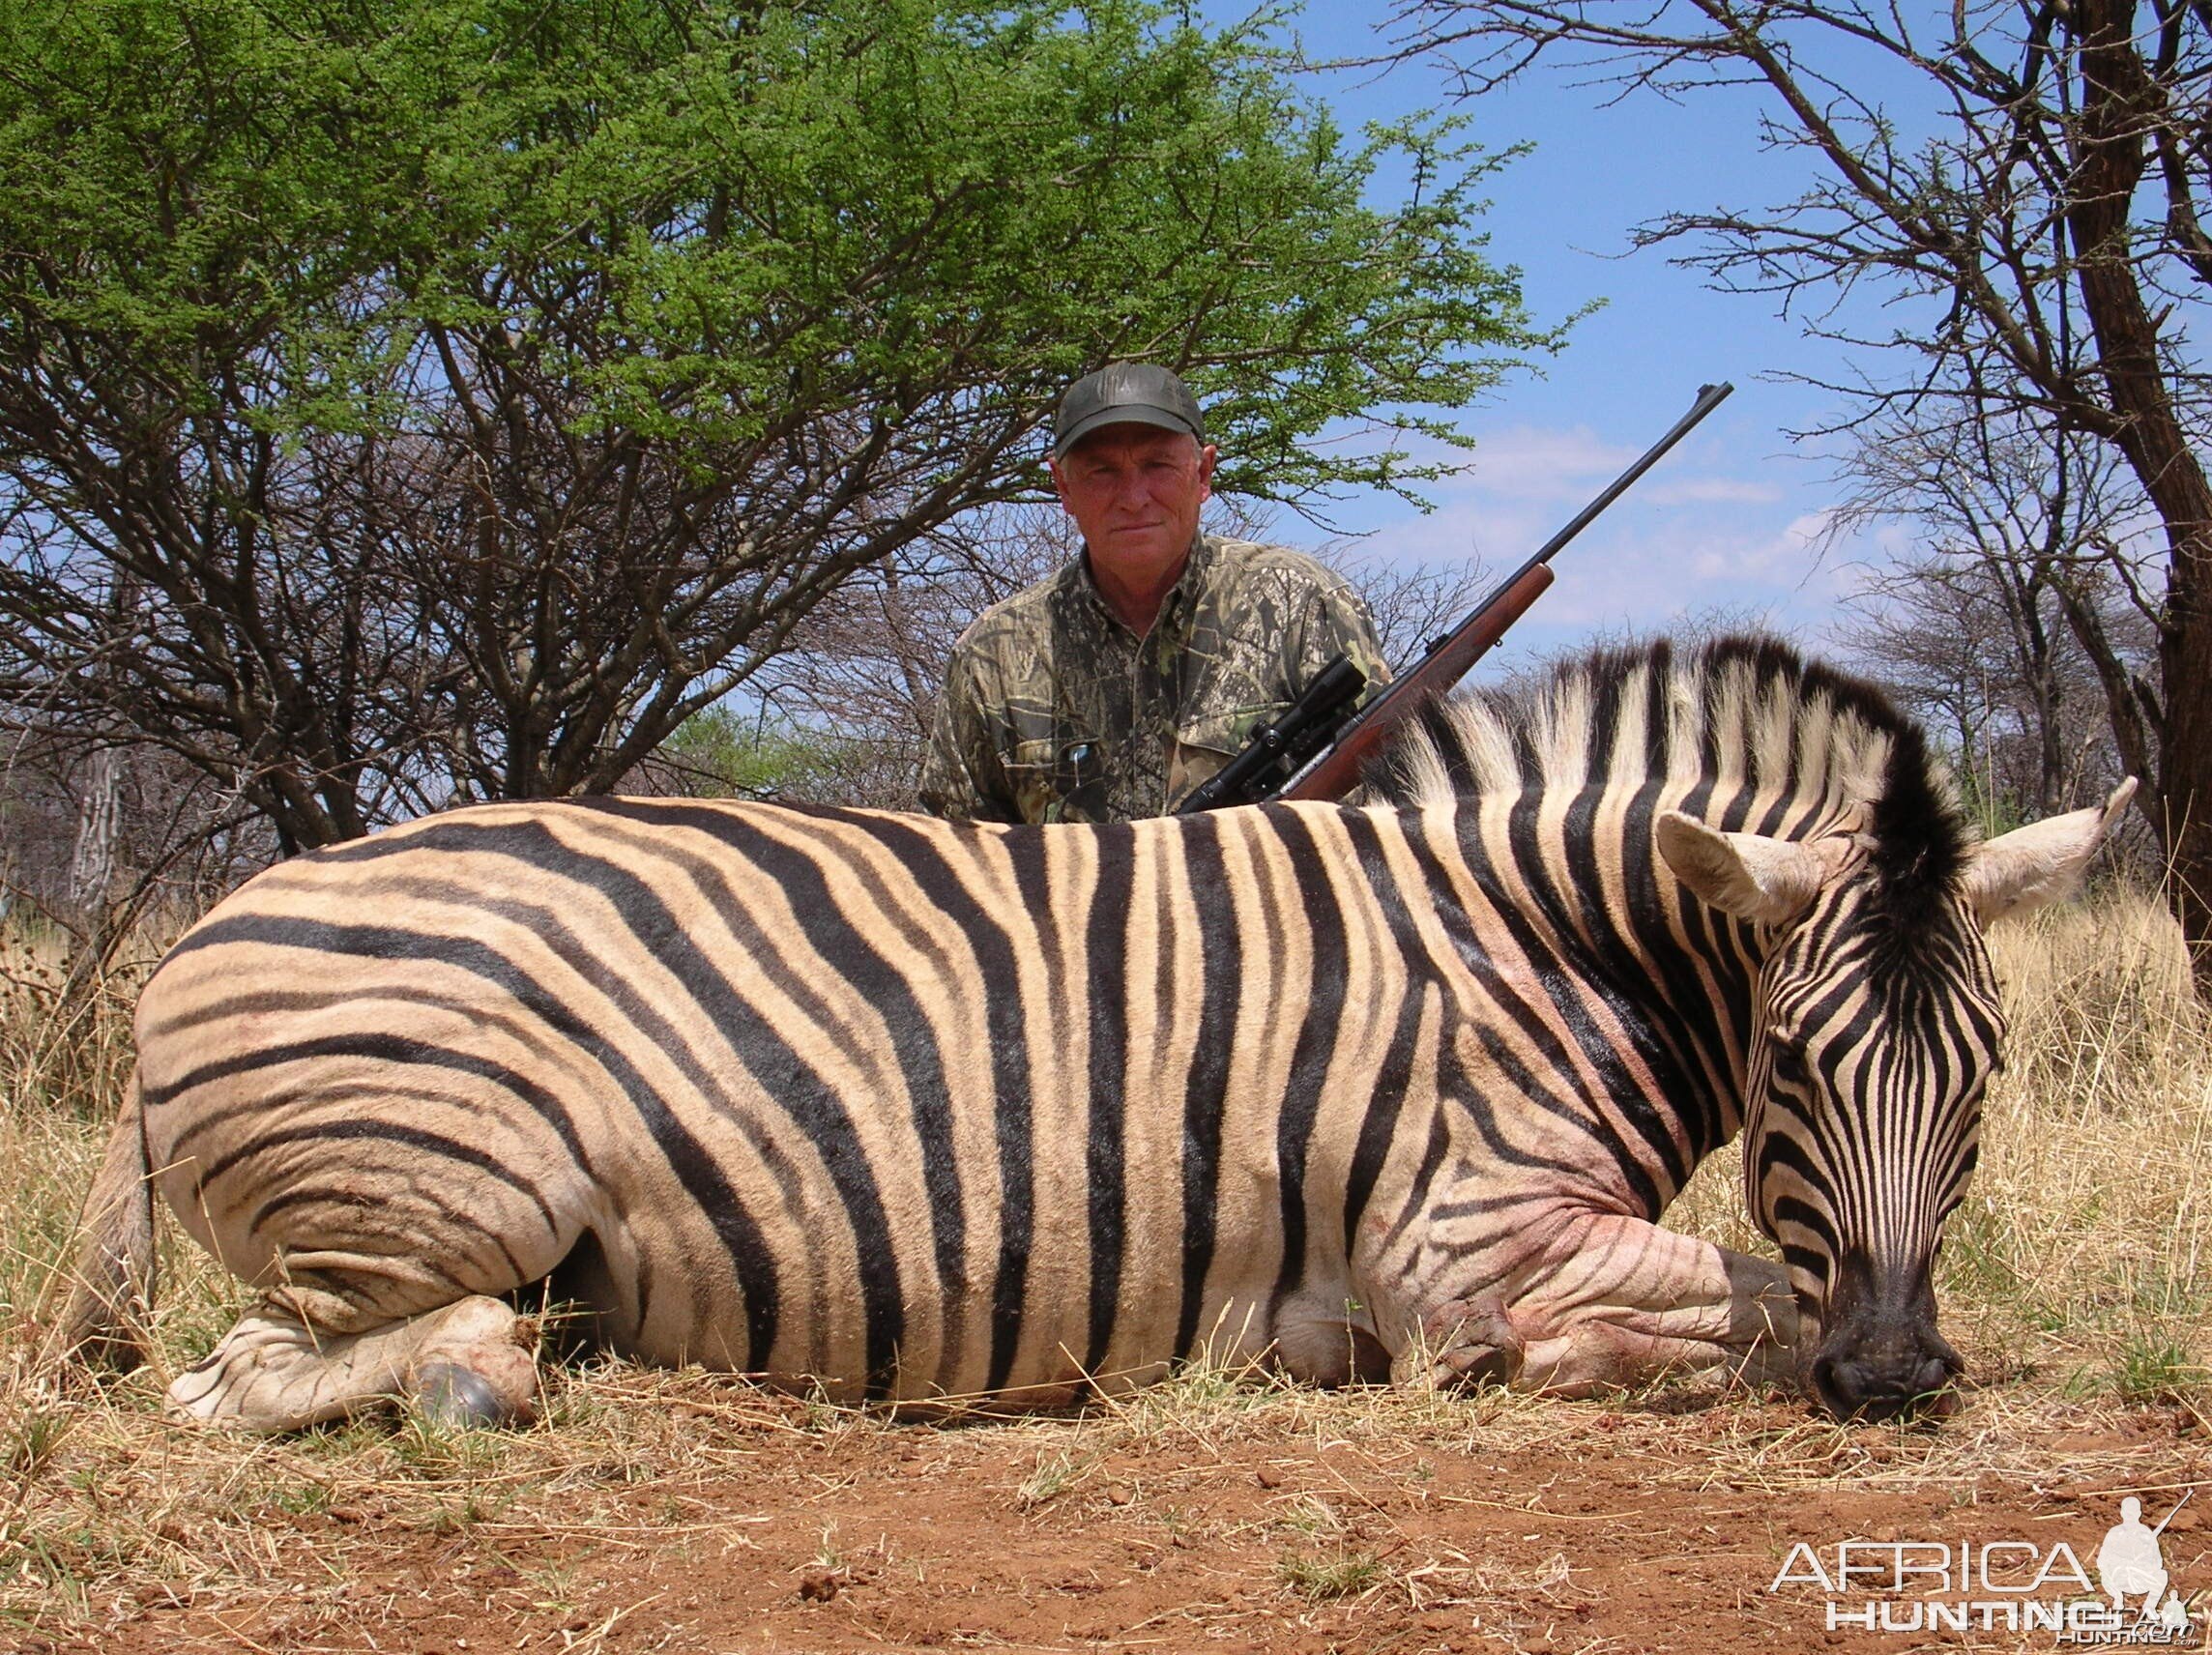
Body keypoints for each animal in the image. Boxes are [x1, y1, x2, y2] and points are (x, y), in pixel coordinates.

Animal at [64, 632, 2123, 1424]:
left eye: (1983, 1081)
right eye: (1792, 1063)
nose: (1894, 1377)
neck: (1529, 949)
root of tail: (185, 951)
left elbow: (1754, 1290)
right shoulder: (1459, 1248)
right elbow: (1735, 1296)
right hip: (439, 1195)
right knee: (261, 1371)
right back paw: (492, 1371)